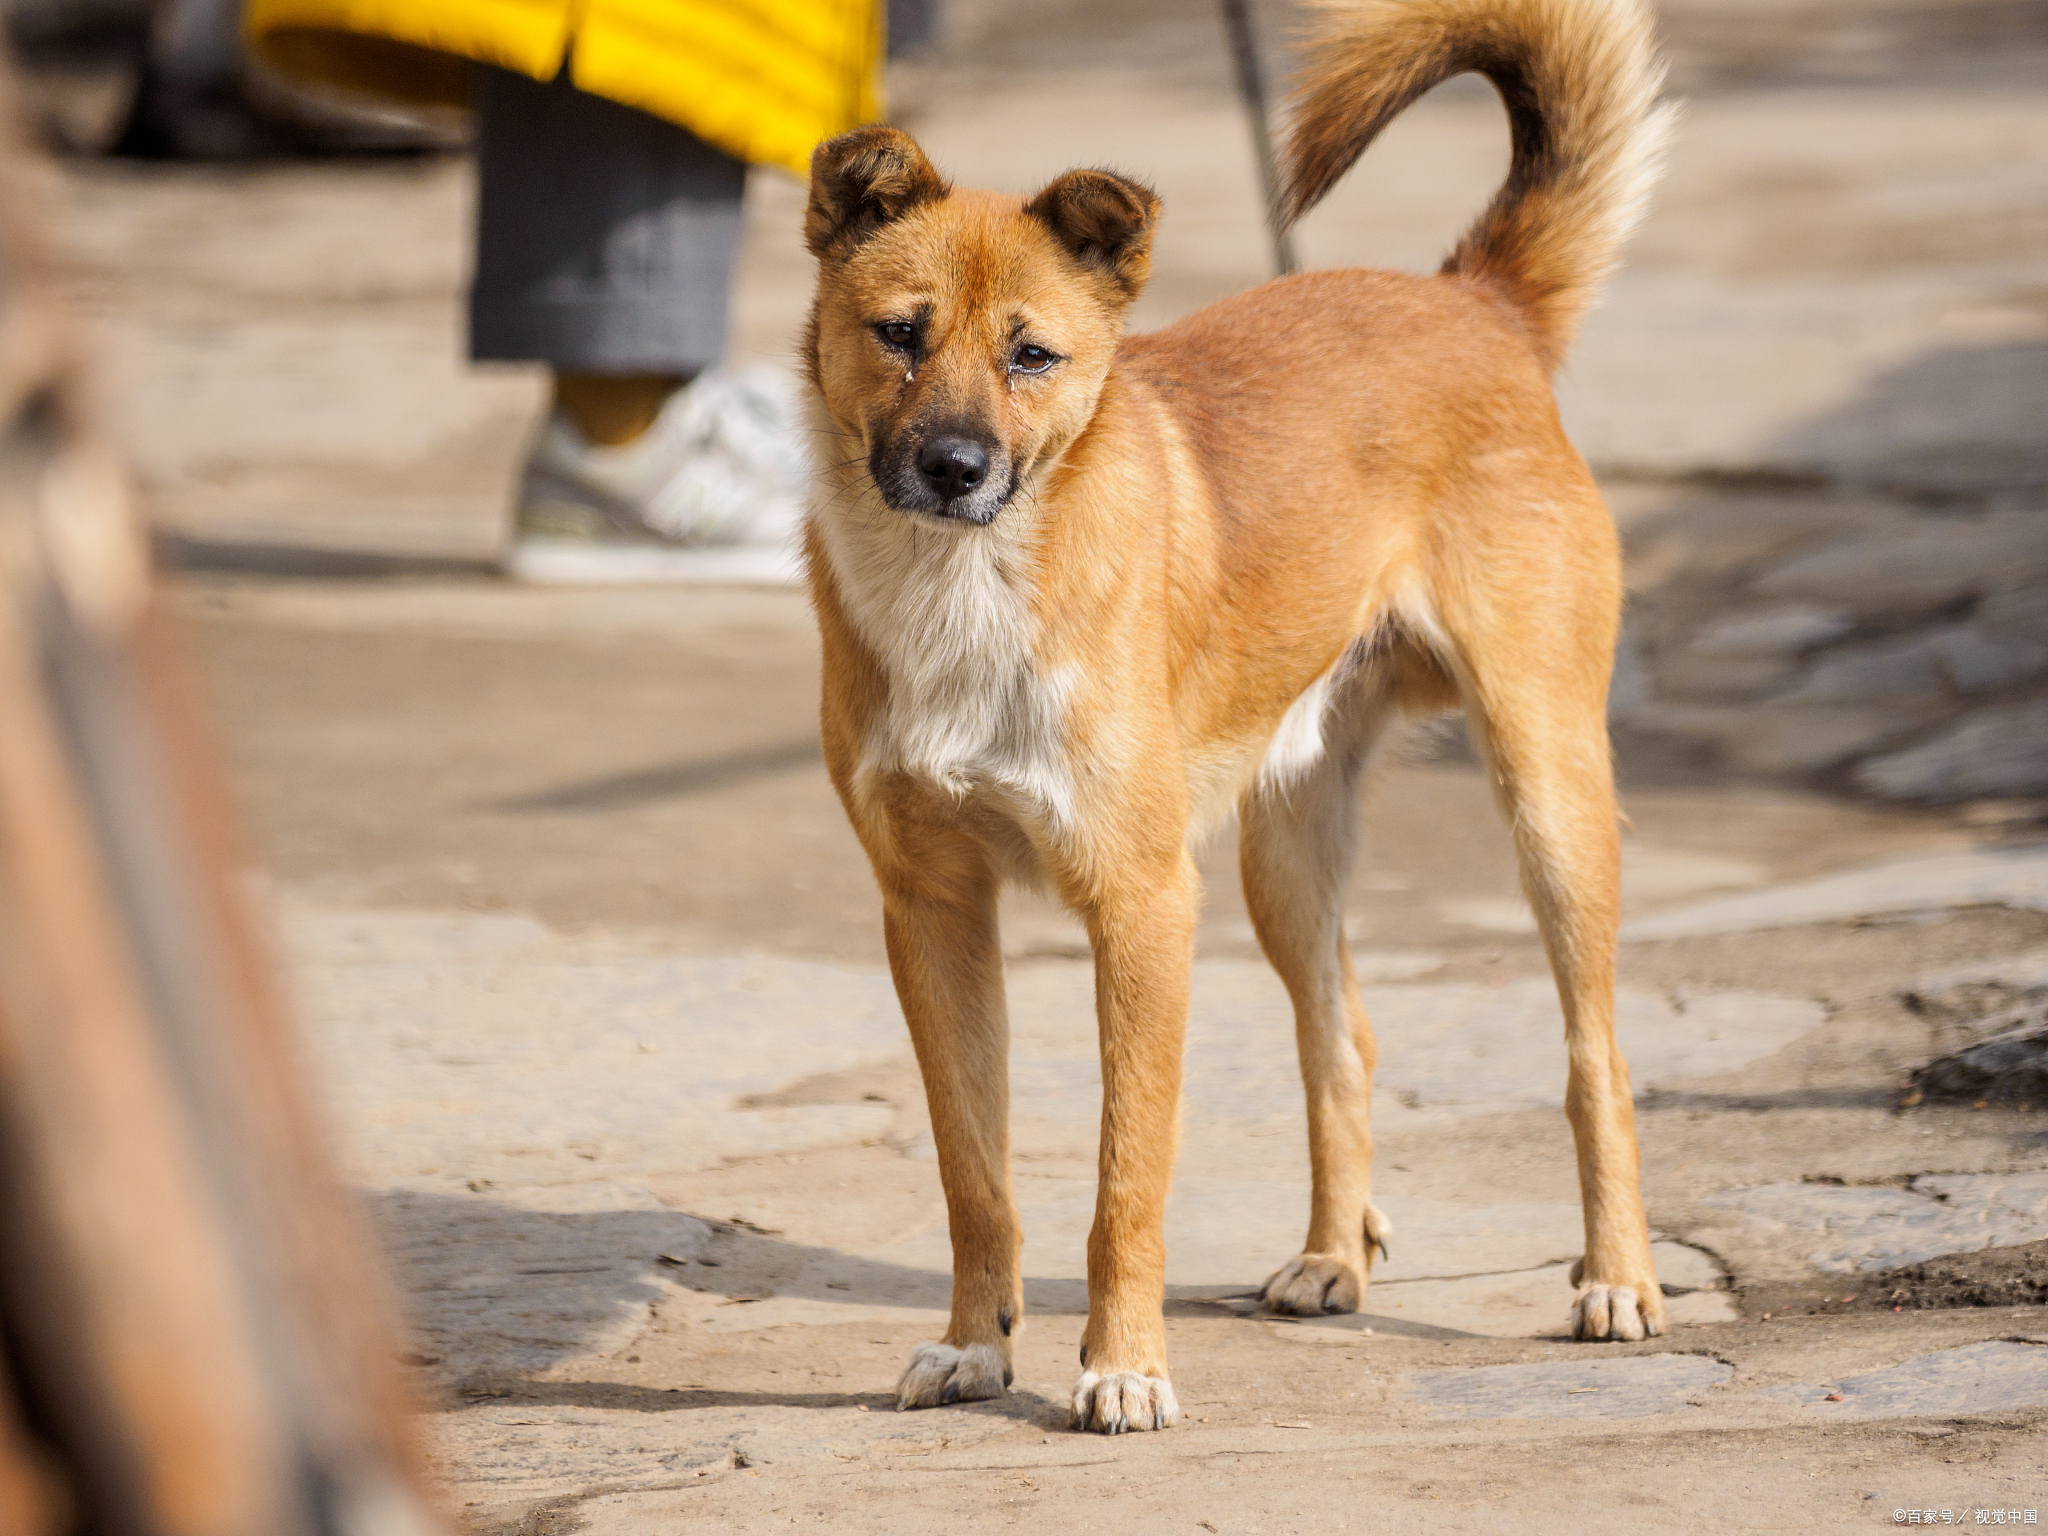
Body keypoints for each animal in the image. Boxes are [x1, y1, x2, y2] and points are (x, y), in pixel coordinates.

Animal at [790, 0, 1671, 1441]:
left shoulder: (1141, 908)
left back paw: (1618, 1278)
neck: (962, 589)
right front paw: (977, 1349)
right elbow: (976, 1174)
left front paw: (1123, 1366)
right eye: (899, 333)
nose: (954, 468)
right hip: (1282, 855)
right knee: (1342, 1040)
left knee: (1591, 1055)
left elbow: (1124, 1183)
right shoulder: (931, 912)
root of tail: (1472, 300)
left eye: (1033, 355)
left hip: (1548, 794)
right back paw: (1330, 1256)